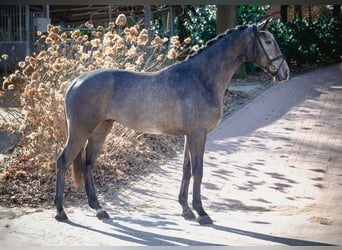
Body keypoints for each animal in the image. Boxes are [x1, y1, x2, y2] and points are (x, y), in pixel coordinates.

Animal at [54, 17, 288, 225]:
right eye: (268, 41)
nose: (285, 72)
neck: (201, 78)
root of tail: (75, 82)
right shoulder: (198, 134)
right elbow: (198, 171)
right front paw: (201, 212)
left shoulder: (190, 135)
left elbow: (186, 169)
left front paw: (186, 209)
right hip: (80, 132)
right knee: (63, 161)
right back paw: (60, 211)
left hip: (101, 129)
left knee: (89, 164)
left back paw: (99, 209)